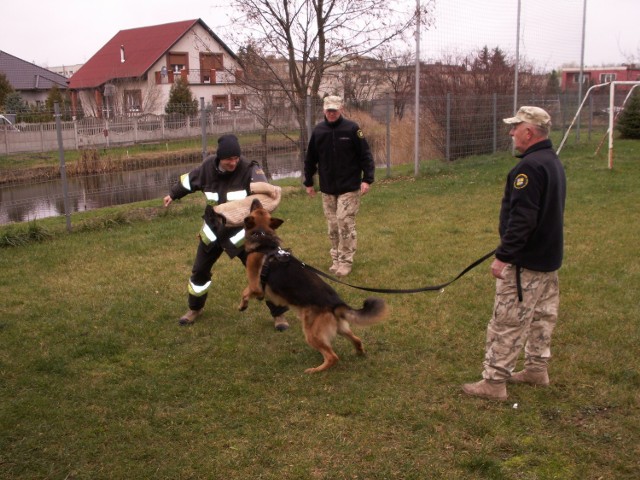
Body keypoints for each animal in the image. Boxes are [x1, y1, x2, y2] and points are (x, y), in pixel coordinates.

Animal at [240, 201, 388, 374]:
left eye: (255, 208)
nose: (255, 199)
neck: (264, 238)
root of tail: (336, 304)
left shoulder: (255, 285)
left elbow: (245, 291)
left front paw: (243, 305)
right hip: (341, 328)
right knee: (357, 340)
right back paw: (359, 353)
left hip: (311, 333)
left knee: (332, 357)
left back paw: (315, 370)